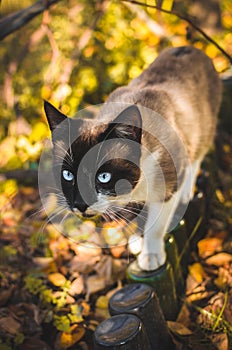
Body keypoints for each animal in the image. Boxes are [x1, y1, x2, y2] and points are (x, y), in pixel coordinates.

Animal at [43, 45, 221, 270]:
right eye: (68, 175)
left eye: (103, 176)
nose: (80, 205)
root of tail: (188, 48)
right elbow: (131, 216)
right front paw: (136, 240)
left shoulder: (168, 186)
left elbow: (155, 226)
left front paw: (150, 255)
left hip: (202, 129)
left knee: (196, 157)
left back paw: (187, 192)